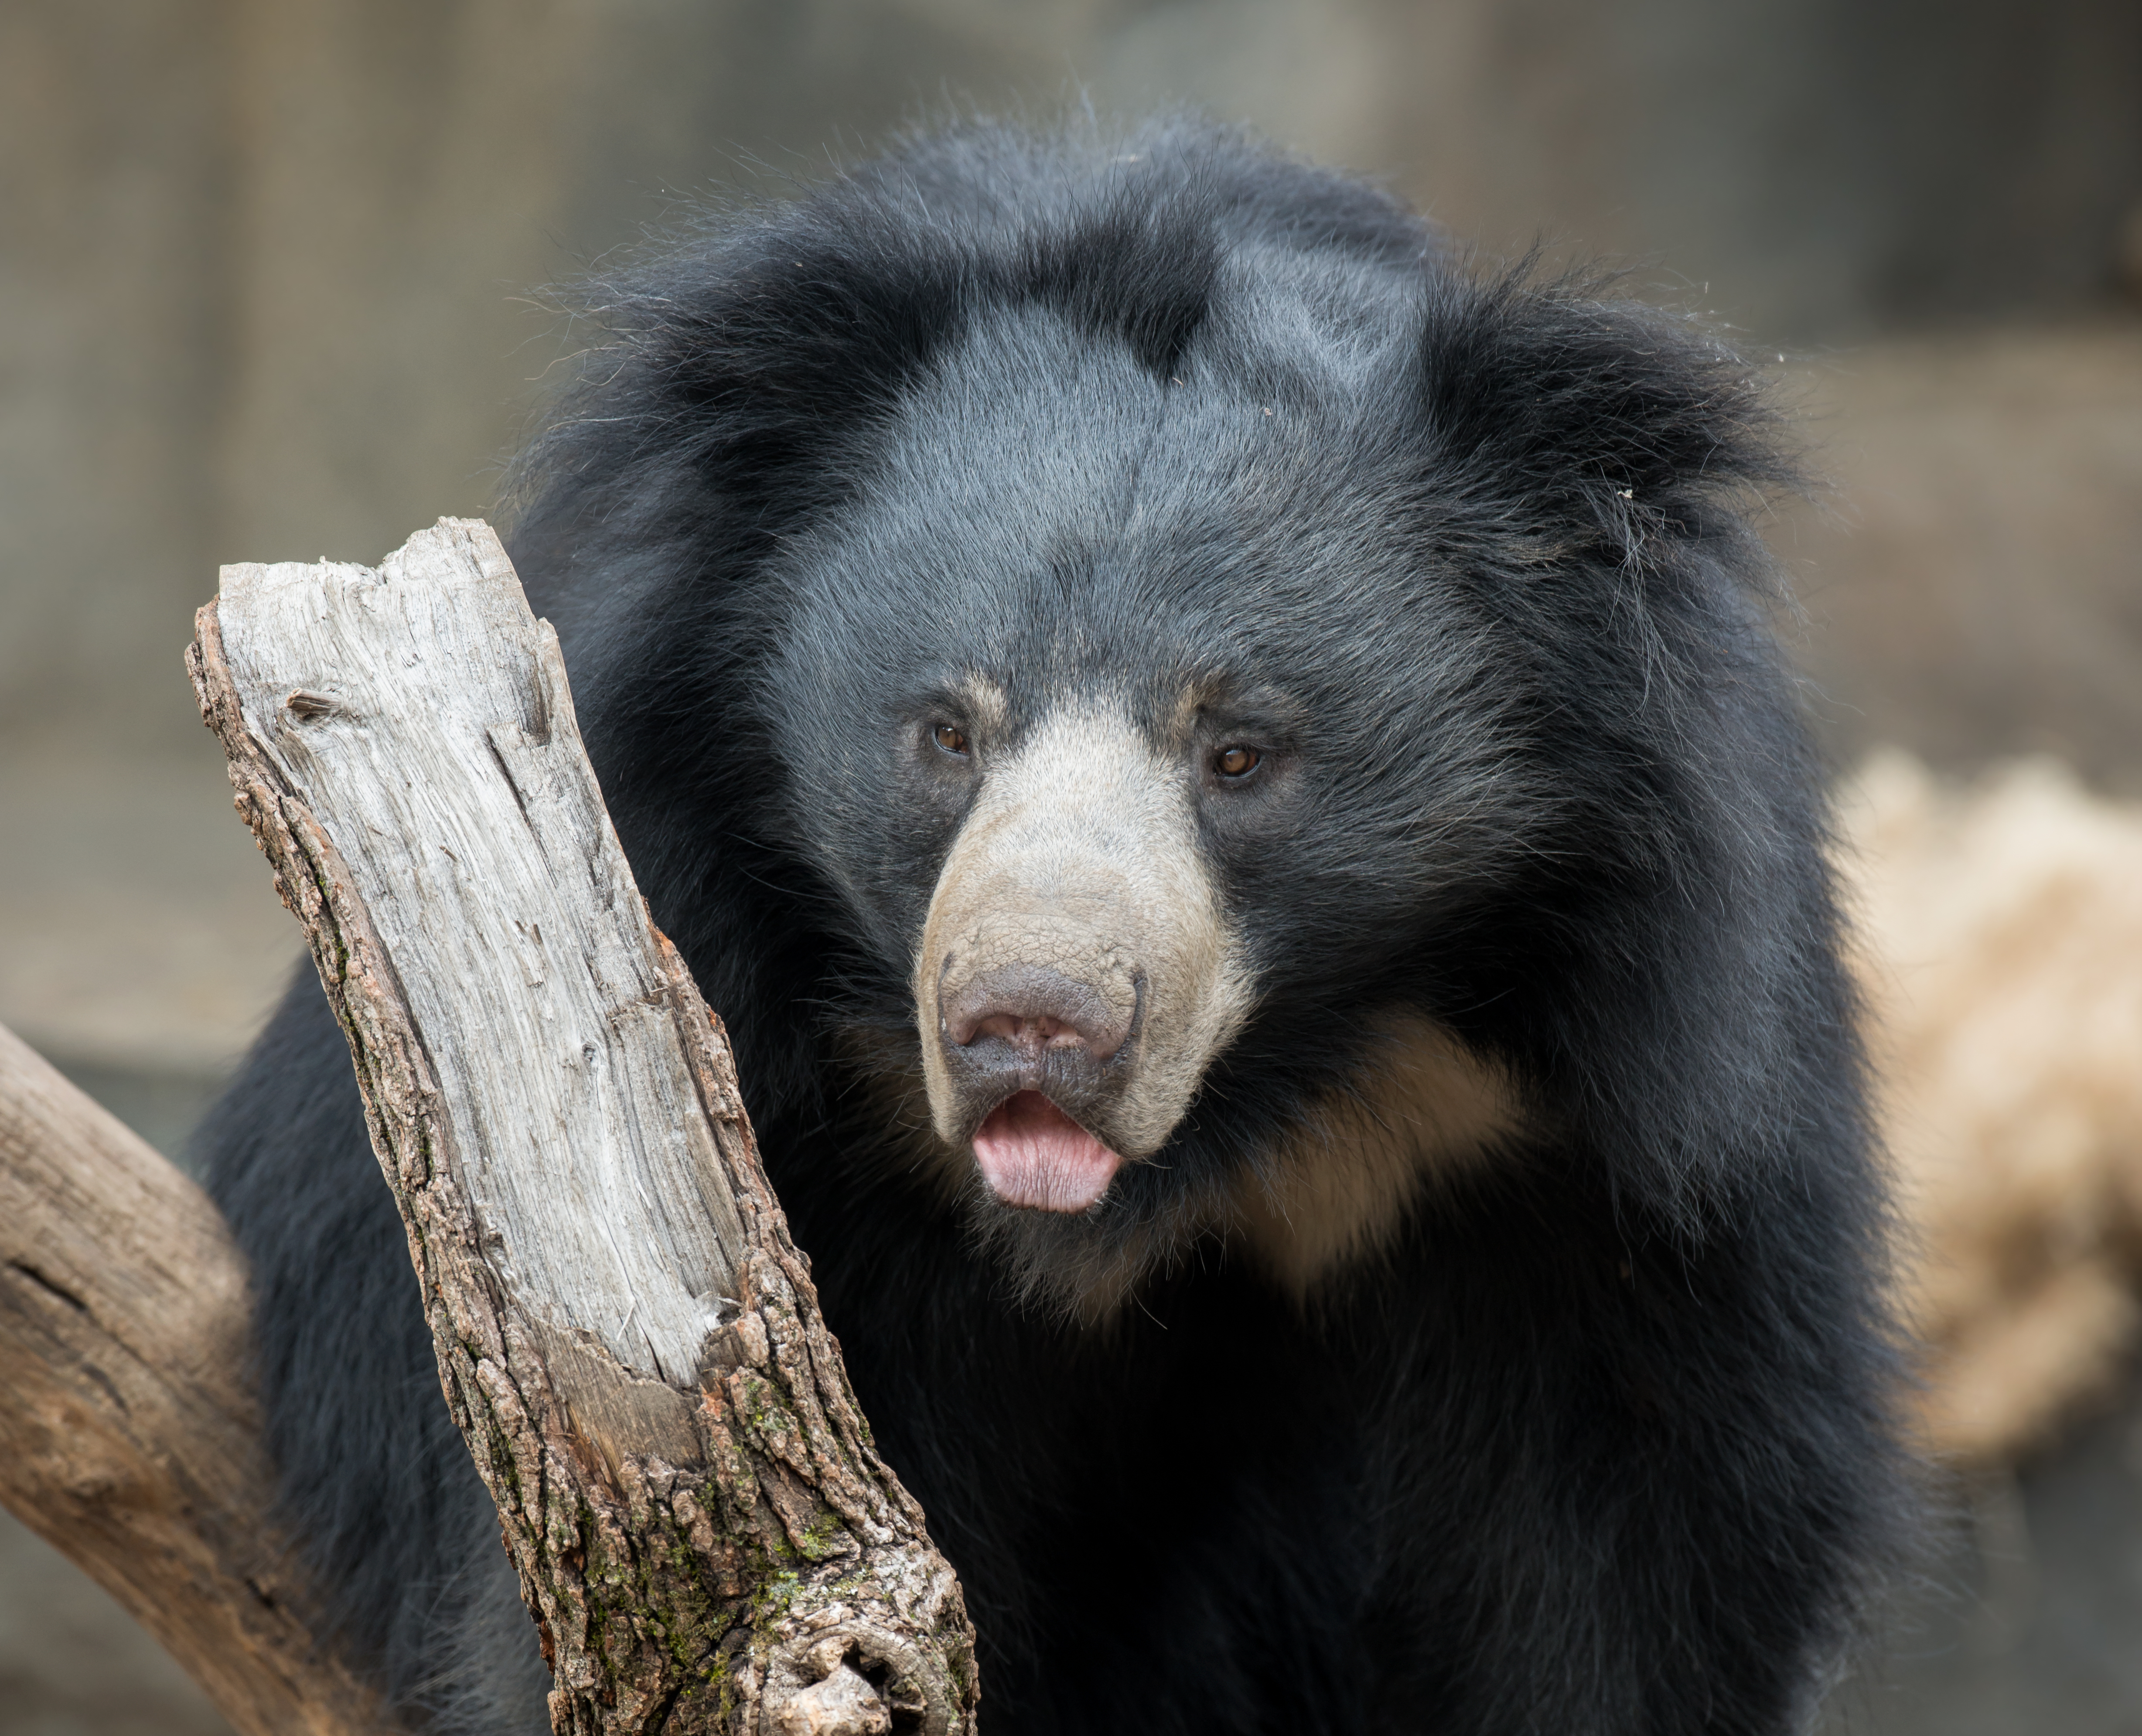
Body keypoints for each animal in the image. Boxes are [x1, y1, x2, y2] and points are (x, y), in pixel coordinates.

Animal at [205, 121, 1910, 1732]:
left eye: (1242, 753)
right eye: (945, 731)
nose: (1031, 1023)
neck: (1223, 1126)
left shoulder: (1571, 1131)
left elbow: (1627, 1553)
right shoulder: (794, 1136)